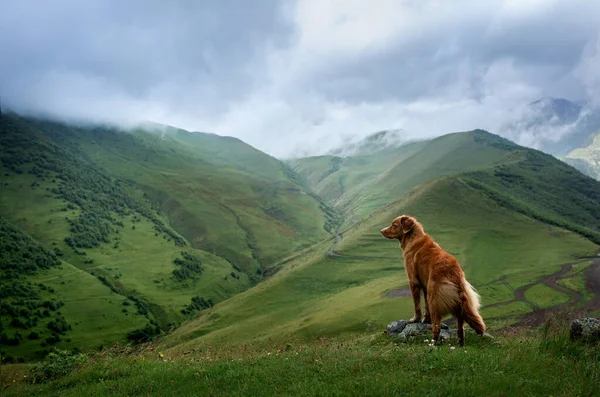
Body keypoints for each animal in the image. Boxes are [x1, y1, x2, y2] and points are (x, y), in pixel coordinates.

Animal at [382, 213, 486, 344]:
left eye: (394, 225)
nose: (381, 231)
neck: (412, 238)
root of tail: (454, 272)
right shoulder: (425, 285)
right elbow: (425, 305)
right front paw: (426, 320)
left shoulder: (413, 281)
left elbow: (417, 305)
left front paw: (415, 319)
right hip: (457, 302)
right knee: (460, 327)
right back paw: (460, 343)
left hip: (435, 298)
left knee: (437, 325)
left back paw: (433, 343)